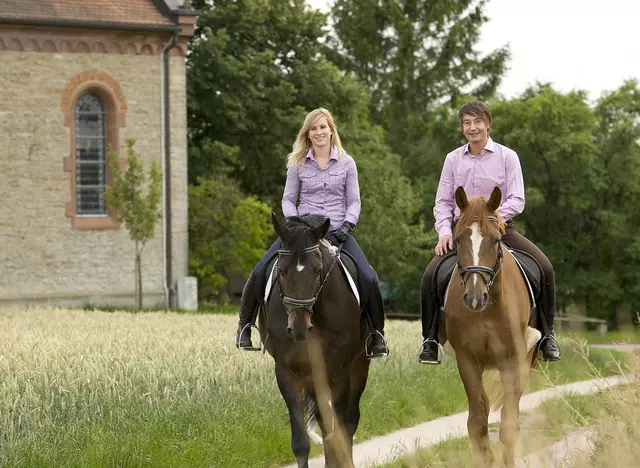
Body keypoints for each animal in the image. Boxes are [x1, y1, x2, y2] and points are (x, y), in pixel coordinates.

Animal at [258, 214, 370, 466]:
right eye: (282, 270)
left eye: (318, 270)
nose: (299, 328)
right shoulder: (288, 373)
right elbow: (301, 441)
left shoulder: (337, 373)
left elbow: (335, 432)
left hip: (359, 366)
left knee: (350, 420)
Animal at [444, 186, 540, 468]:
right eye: (458, 239)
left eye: (496, 240)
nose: (475, 298)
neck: (488, 310)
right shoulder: (467, 360)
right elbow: (477, 421)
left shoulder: (512, 359)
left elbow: (508, 423)